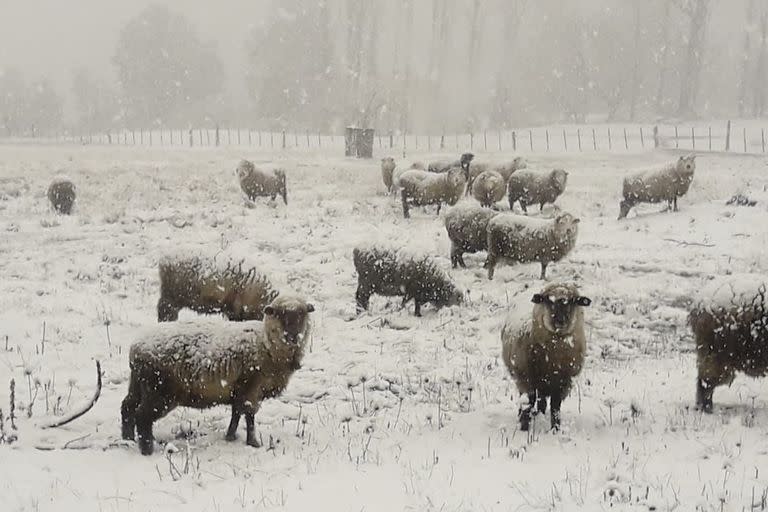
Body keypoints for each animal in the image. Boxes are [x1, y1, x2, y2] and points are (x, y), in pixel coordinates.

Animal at [121, 294, 314, 454]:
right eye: (279, 314)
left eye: (302, 314)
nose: (293, 336)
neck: (266, 344)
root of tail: (135, 349)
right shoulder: (252, 387)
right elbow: (249, 415)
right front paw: (253, 442)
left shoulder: (238, 389)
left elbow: (236, 413)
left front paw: (230, 436)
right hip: (160, 390)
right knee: (142, 416)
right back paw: (147, 449)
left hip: (138, 384)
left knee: (127, 406)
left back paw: (128, 439)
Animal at [500, 282, 592, 430]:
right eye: (548, 300)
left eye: (573, 301)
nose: (560, 321)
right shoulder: (526, 380)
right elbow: (527, 404)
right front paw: (524, 428)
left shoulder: (563, 383)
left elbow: (555, 408)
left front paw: (555, 429)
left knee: (542, 401)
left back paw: (540, 415)